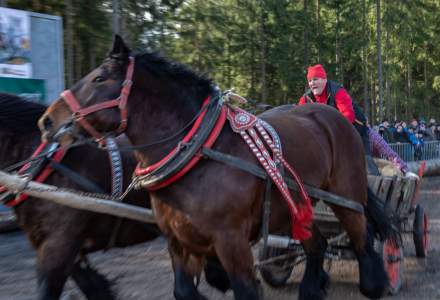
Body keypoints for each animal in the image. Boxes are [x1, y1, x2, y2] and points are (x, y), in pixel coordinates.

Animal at [40, 36, 392, 298]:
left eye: (99, 78)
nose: (48, 120)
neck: (198, 155)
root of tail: (333, 118)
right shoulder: (179, 242)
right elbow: (184, 289)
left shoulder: (231, 241)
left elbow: (246, 290)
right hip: (297, 205)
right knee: (317, 244)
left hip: (346, 194)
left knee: (362, 237)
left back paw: (376, 283)